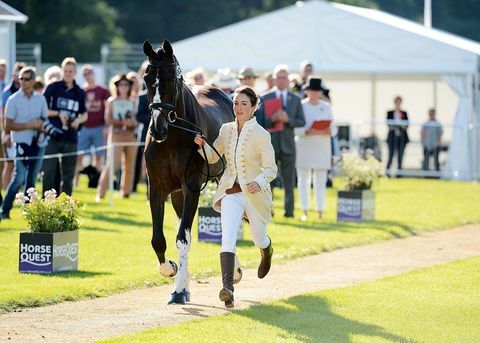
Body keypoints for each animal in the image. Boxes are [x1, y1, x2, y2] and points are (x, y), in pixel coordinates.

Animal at [142, 39, 233, 306]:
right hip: (177, 195)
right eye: (146, 78)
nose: (157, 128)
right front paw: (171, 270)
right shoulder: (157, 189)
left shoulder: (192, 187)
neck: (173, 136)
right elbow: (159, 239)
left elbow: (183, 237)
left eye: (172, 79)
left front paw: (180, 290)